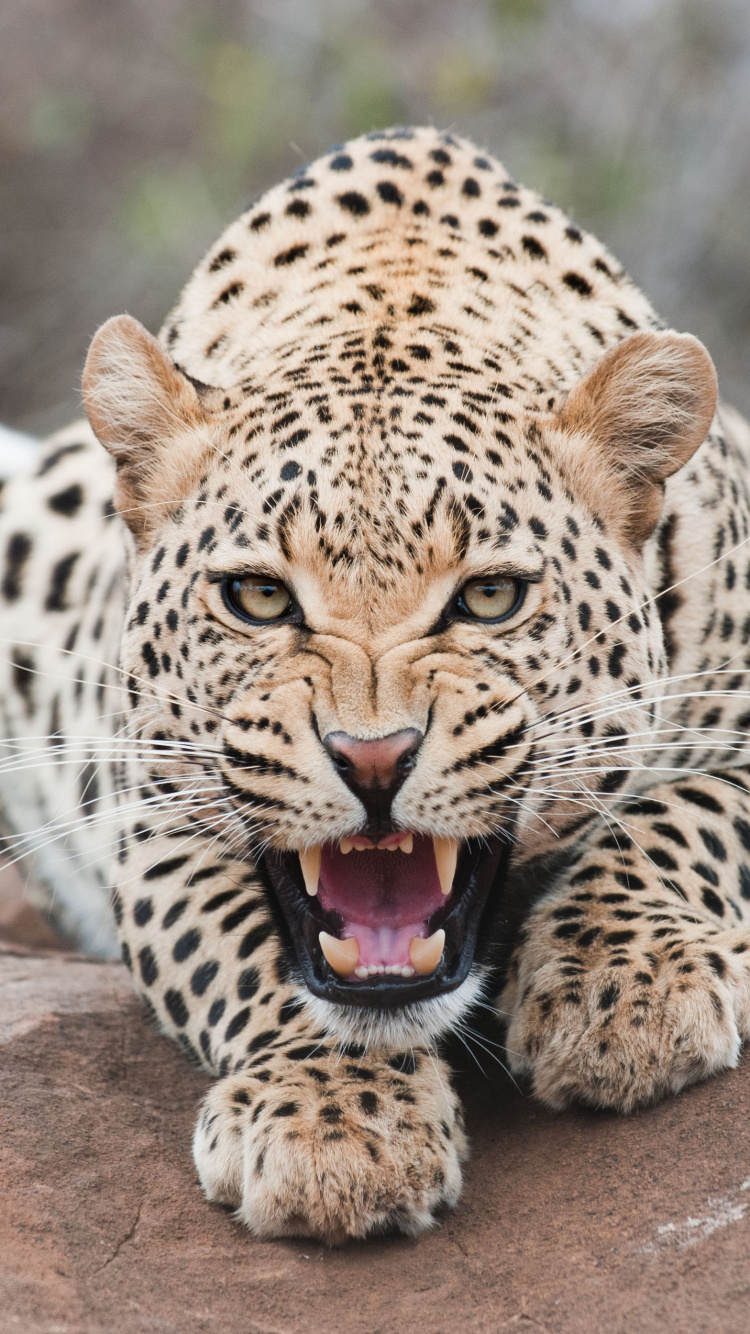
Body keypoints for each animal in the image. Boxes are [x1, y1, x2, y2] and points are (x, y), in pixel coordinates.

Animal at [2, 125, 750, 1244]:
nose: (372, 759)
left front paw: (625, 987)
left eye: (489, 596)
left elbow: (690, 812)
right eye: (259, 596)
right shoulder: (153, 812)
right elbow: (246, 954)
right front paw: (334, 1121)